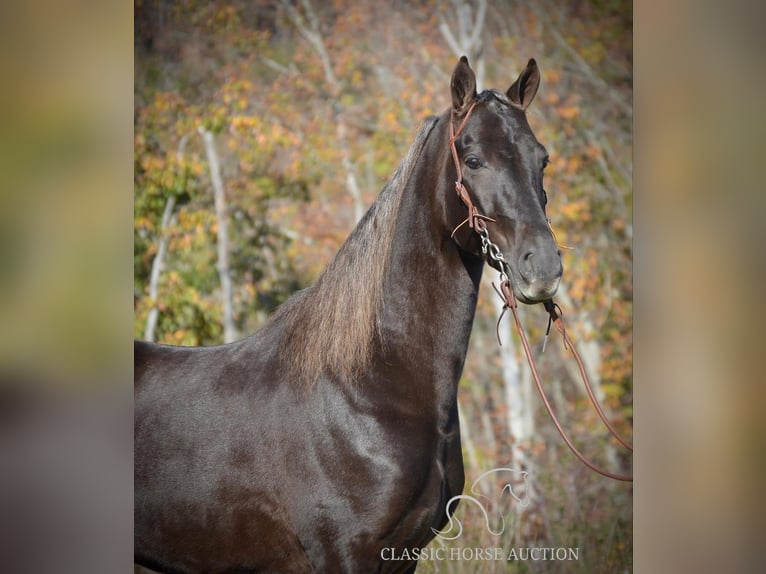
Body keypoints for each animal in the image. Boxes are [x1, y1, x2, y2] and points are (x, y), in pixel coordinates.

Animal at [134, 55, 564, 574]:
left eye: (542, 159)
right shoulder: (345, 554)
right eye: (475, 160)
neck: (367, 386)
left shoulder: (403, 556)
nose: (544, 266)